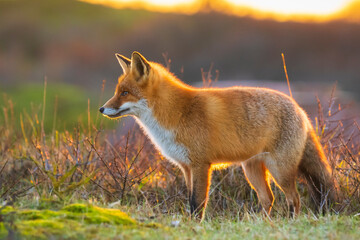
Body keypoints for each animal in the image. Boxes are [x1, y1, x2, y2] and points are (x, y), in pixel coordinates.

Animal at [100, 51, 338, 220]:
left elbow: (197, 202)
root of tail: (300, 109)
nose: (101, 109)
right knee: (268, 199)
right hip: (252, 170)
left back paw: (289, 223)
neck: (176, 113)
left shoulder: (201, 164)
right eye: (117, 92)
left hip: (280, 170)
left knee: (294, 199)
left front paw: (195, 227)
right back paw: (265, 225)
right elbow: (190, 200)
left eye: (125, 93)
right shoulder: (186, 167)